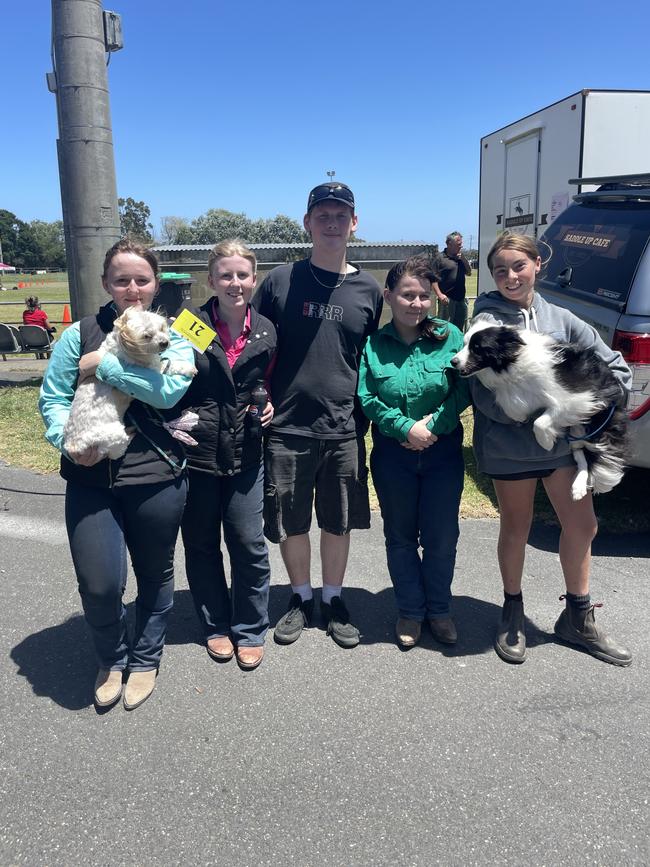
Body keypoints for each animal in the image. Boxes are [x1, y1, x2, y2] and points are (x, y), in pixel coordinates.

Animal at [63, 308, 195, 464]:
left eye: (161, 328)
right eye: (146, 336)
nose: (164, 342)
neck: (123, 343)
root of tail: (75, 446)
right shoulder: (153, 369)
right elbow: (168, 365)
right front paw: (187, 367)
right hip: (113, 437)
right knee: (116, 452)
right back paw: (130, 433)